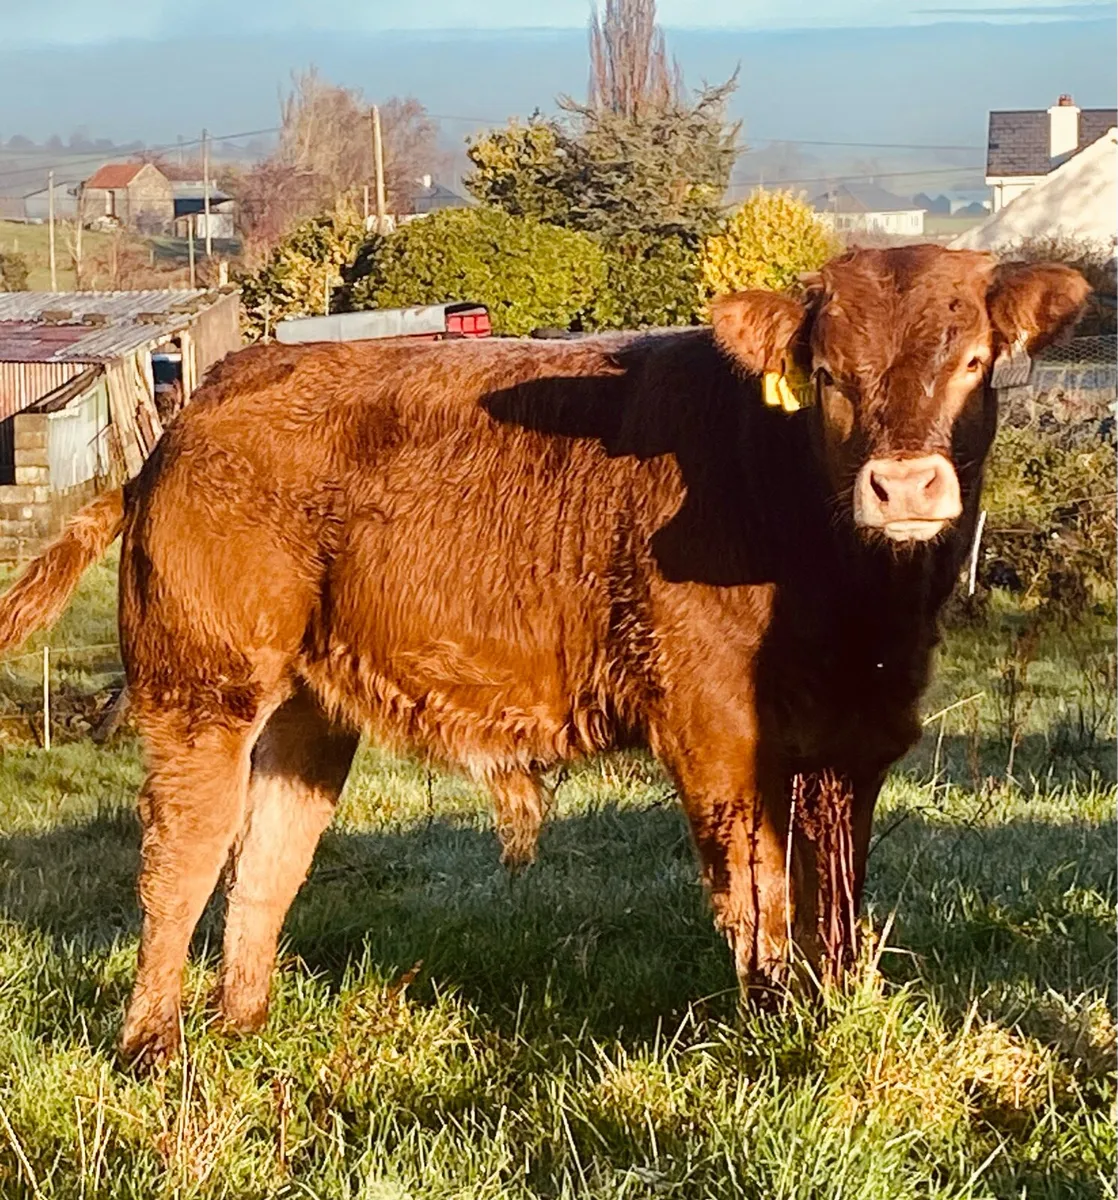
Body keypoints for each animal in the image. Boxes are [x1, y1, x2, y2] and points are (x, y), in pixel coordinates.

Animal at [0, 245, 1088, 1068]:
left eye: (975, 361)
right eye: (826, 375)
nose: (903, 485)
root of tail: (193, 415)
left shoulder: (854, 737)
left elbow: (839, 897)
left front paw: (834, 1007)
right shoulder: (718, 729)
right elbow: (757, 896)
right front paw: (772, 1029)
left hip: (308, 706)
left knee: (268, 854)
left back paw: (244, 1026)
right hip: (203, 685)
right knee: (179, 858)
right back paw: (154, 1047)